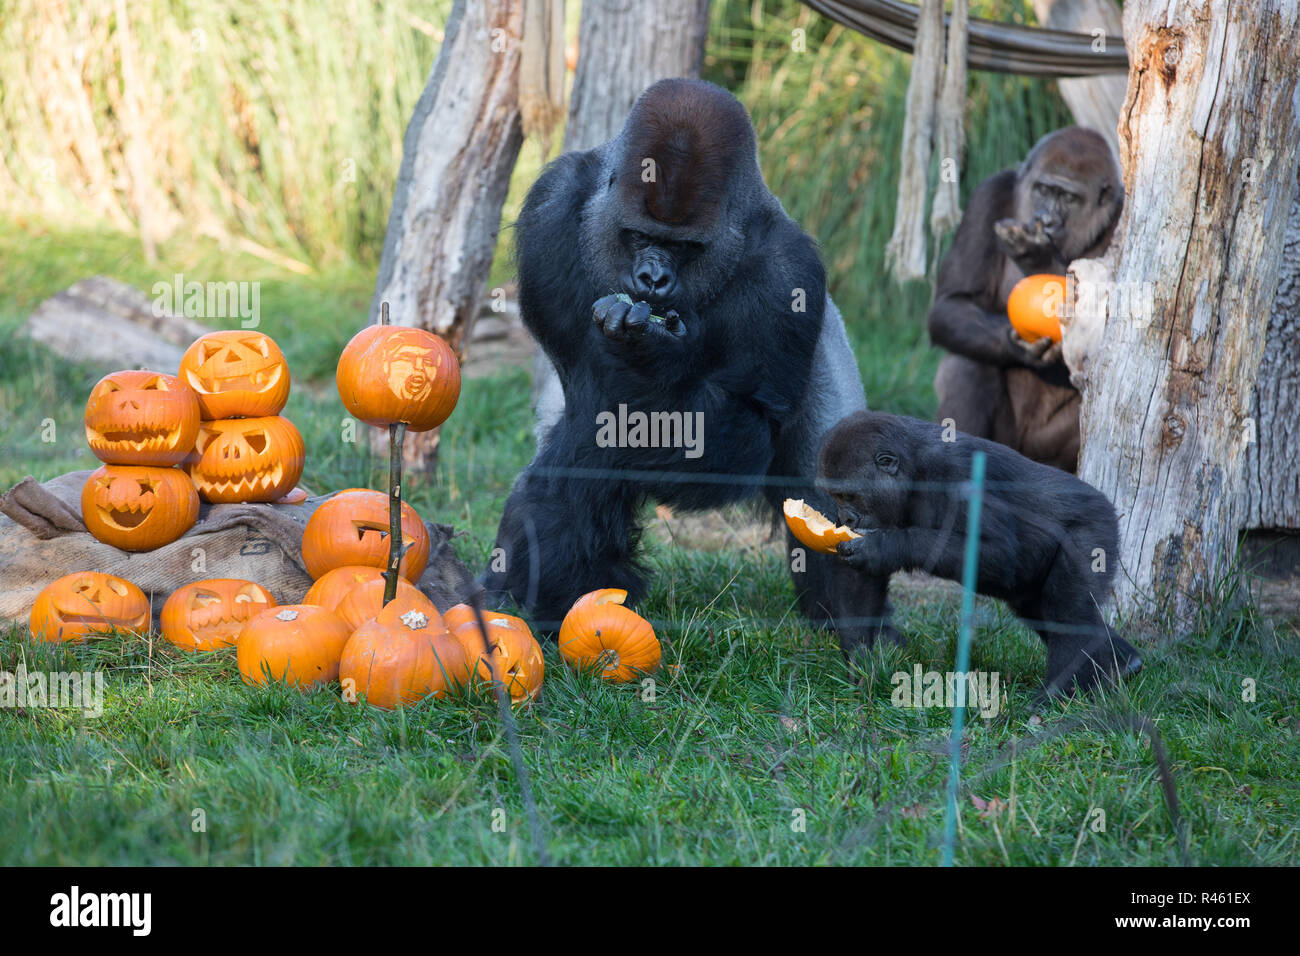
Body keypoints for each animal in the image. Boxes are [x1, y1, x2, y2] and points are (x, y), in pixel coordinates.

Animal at [488, 80, 894, 650]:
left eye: (683, 247)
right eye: (639, 236)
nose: (653, 280)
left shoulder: (791, 271)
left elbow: (743, 423)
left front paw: (654, 357)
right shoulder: (553, 203)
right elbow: (590, 402)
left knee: (827, 497)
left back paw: (860, 633)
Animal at [816, 408, 1144, 697]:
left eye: (849, 495)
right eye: (835, 496)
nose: (845, 519)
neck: (912, 470)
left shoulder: (957, 474)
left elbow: (1000, 552)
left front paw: (886, 546)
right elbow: (860, 578)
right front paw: (860, 663)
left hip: (1096, 526)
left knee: (1068, 608)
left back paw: (1059, 691)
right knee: (1039, 607)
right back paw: (1121, 664)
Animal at [930, 127, 1123, 470]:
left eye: (1068, 198)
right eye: (1043, 190)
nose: (1046, 219)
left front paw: (1037, 256)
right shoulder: (988, 195)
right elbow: (952, 304)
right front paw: (1017, 346)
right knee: (966, 362)